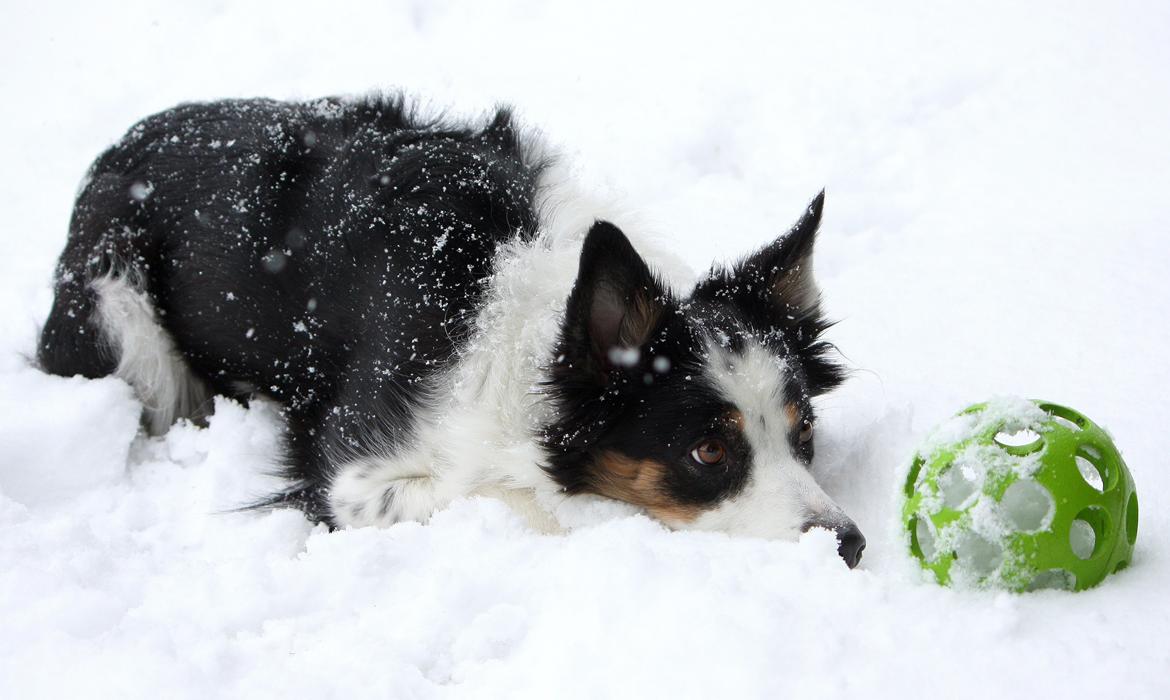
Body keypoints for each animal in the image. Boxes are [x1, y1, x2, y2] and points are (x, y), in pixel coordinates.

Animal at [38, 97, 870, 571]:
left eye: (804, 431)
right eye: (708, 452)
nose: (849, 544)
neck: (531, 329)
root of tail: (122, 144)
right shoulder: (348, 476)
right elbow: (520, 499)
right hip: (120, 309)